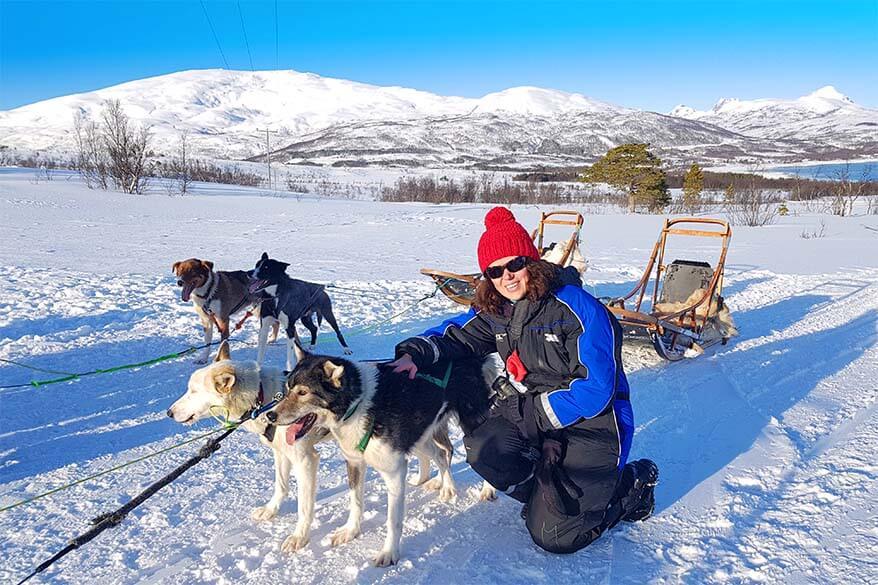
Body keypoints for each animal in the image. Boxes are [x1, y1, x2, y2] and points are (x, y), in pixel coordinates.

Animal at [272, 344, 498, 564]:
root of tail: (473, 358)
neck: (360, 404)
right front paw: (351, 531)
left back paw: (486, 489)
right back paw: (445, 486)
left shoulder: (394, 472)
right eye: (287, 389)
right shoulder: (354, 462)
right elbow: (355, 502)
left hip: (473, 423)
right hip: (419, 436)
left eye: (303, 392)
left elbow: (393, 521)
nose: (271, 415)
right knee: (441, 454)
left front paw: (389, 553)